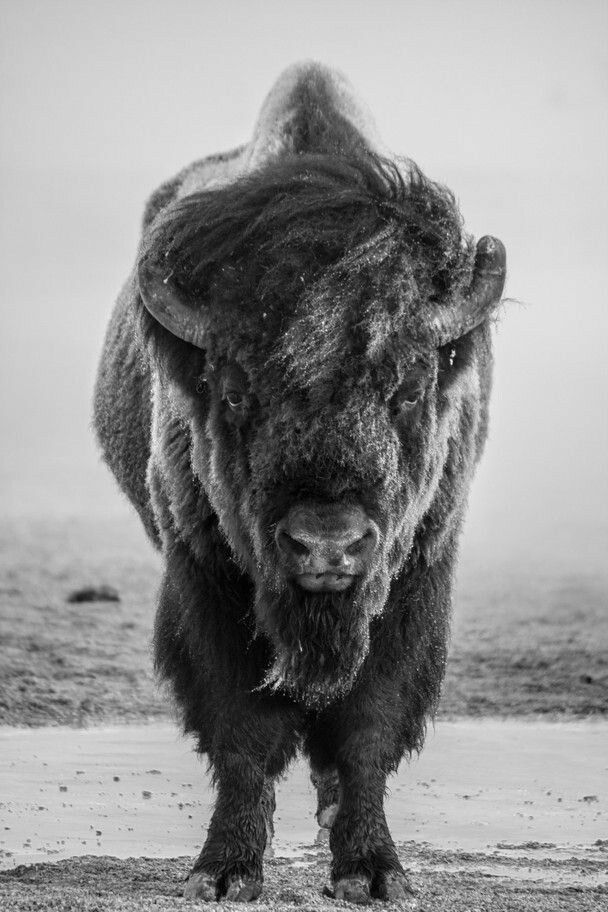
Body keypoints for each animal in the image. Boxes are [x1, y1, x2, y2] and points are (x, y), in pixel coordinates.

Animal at [94, 62, 506, 903]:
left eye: (408, 387)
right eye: (235, 390)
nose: (326, 545)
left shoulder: (411, 587)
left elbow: (366, 730)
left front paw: (374, 873)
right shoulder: (210, 584)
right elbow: (242, 733)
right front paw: (223, 872)